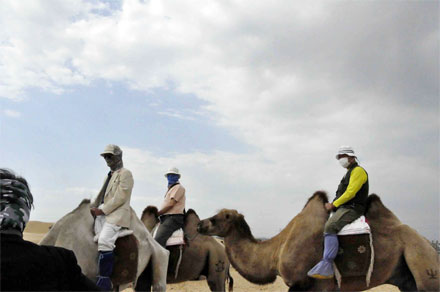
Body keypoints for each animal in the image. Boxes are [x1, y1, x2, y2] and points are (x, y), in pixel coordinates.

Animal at [197, 192, 440, 292]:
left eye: (219, 218)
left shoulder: (305, 284)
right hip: (407, 279)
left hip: (423, 265)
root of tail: (429, 246)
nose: (199, 224)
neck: (276, 251)